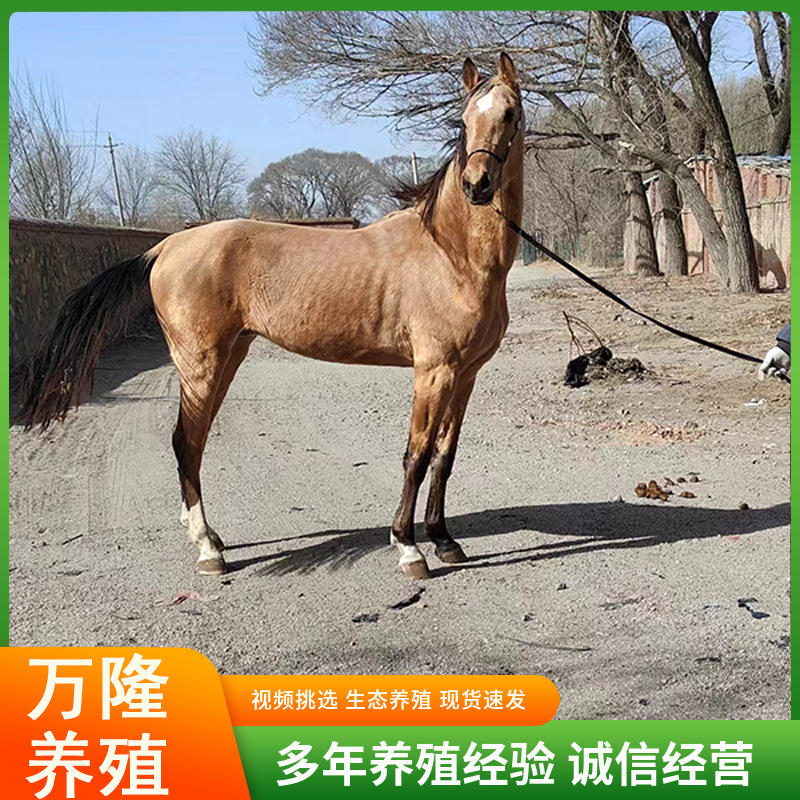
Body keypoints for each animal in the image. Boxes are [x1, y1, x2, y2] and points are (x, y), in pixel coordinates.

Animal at [20, 53, 525, 580]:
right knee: (186, 441)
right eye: (463, 121)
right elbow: (417, 455)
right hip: (199, 365)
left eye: (510, 113)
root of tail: (165, 247)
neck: (451, 254)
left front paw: (445, 541)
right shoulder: (433, 371)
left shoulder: (465, 375)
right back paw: (208, 548)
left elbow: (444, 456)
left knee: (195, 443)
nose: (476, 185)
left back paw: (208, 536)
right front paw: (409, 549)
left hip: (228, 358)